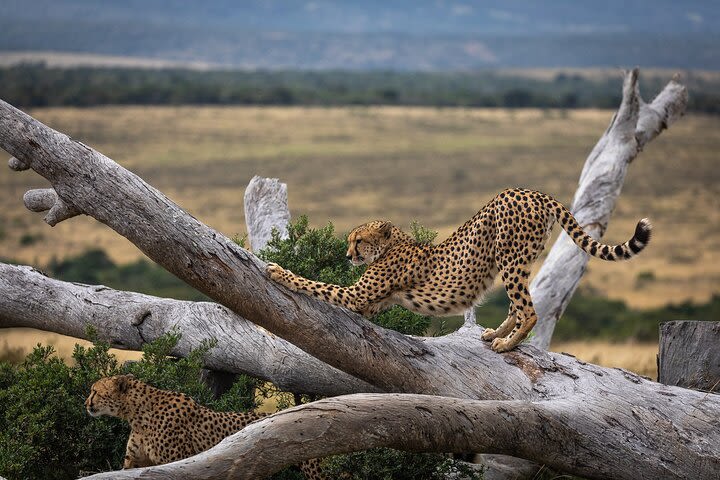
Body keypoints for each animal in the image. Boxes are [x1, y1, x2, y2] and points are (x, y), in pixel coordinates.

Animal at [268, 188, 652, 352]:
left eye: (358, 240)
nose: (348, 255)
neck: (393, 245)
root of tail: (531, 190)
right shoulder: (370, 304)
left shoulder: (357, 294)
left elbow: (318, 284)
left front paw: (278, 271)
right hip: (517, 258)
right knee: (518, 305)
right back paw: (495, 334)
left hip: (510, 257)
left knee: (529, 310)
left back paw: (507, 344)